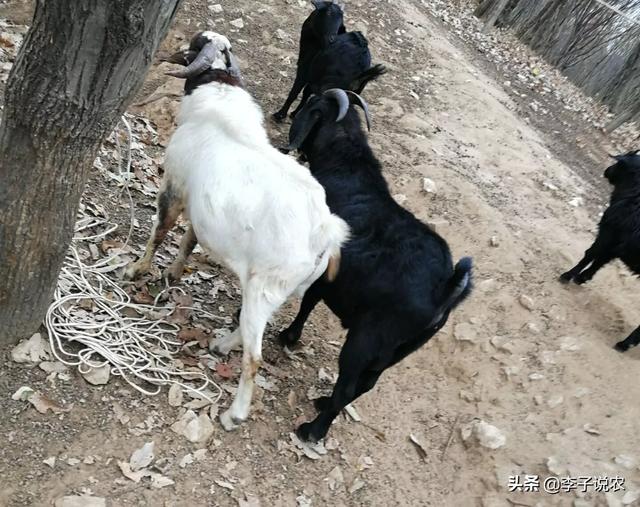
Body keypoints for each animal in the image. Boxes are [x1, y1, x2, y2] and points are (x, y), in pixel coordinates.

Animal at [126, 31, 350, 430]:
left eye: (195, 45)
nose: (175, 51)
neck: (216, 107)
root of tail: (326, 232)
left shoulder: (176, 187)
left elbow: (162, 229)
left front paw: (137, 269)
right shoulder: (201, 209)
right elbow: (190, 240)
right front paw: (174, 272)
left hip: (263, 288)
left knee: (254, 357)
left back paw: (234, 413)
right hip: (278, 291)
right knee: (255, 328)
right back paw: (222, 345)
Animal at [282, 89, 472, 442]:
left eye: (310, 104)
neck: (347, 167)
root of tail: (445, 289)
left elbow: (307, 300)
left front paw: (288, 336)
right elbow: (310, 300)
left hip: (365, 339)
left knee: (348, 387)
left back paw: (313, 429)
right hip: (396, 352)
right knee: (366, 385)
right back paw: (322, 402)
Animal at [560, 149, 640, 352]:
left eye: (619, 163)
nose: (607, 170)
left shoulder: (607, 234)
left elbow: (590, 254)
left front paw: (567, 275)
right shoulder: (615, 244)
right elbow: (600, 260)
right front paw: (582, 278)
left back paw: (623, 344)